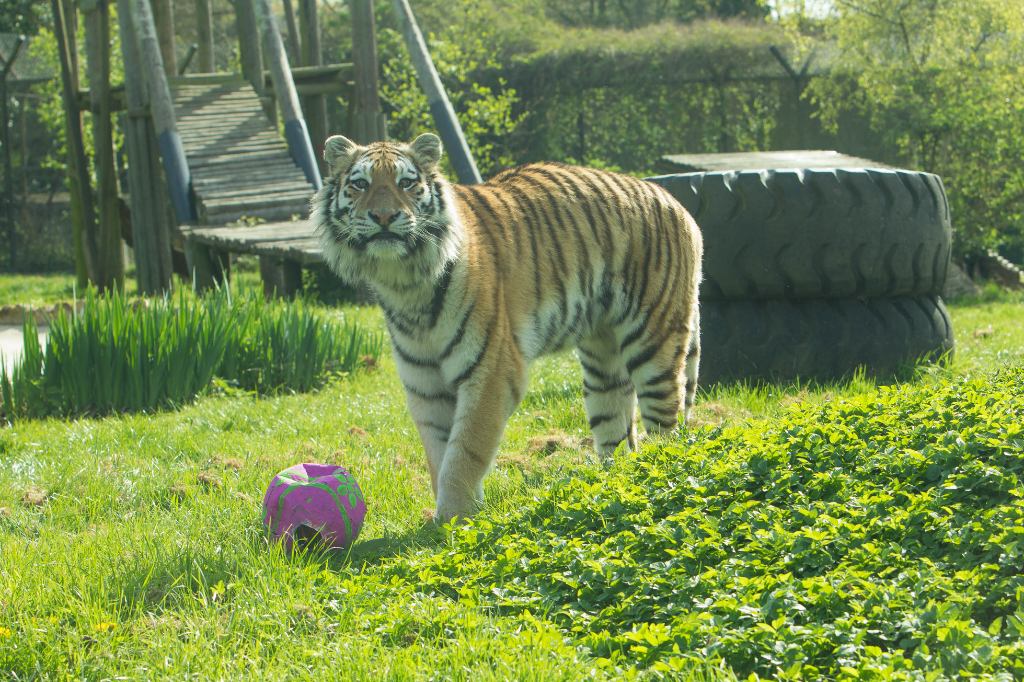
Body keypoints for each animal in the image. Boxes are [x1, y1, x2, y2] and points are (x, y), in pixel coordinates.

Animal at [311, 133, 703, 523]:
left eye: (406, 183)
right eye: (360, 184)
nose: (383, 216)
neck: (405, 281)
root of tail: (676, 202)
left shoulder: (492, 370)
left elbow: (465, 449)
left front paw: (455, 516)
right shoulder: (424, 383)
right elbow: (438, 450)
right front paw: (444, 520)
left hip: (653, 340)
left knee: (666, 421)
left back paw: (657, 471)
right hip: (602, 356)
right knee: (617, 425)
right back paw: (612, 482)